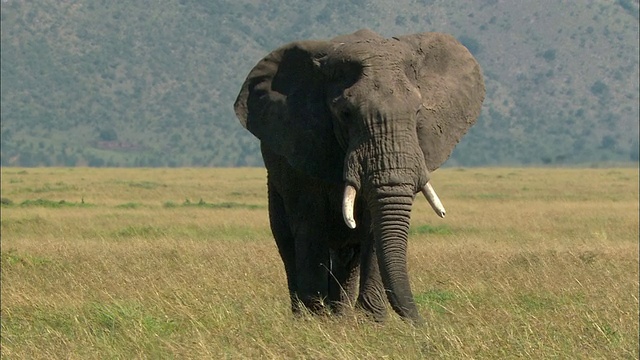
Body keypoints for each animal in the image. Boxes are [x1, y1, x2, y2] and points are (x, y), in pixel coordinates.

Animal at [235, 28, 484, 324]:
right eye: (346, 113)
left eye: (418, 112)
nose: (422, 323)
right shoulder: (301, 147)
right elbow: (310, 225)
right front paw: (315, 322)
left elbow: (373, 228)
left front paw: (371, 322)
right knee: (288, 243)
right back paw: (306, 315)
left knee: (346, 257)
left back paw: (340, 317)